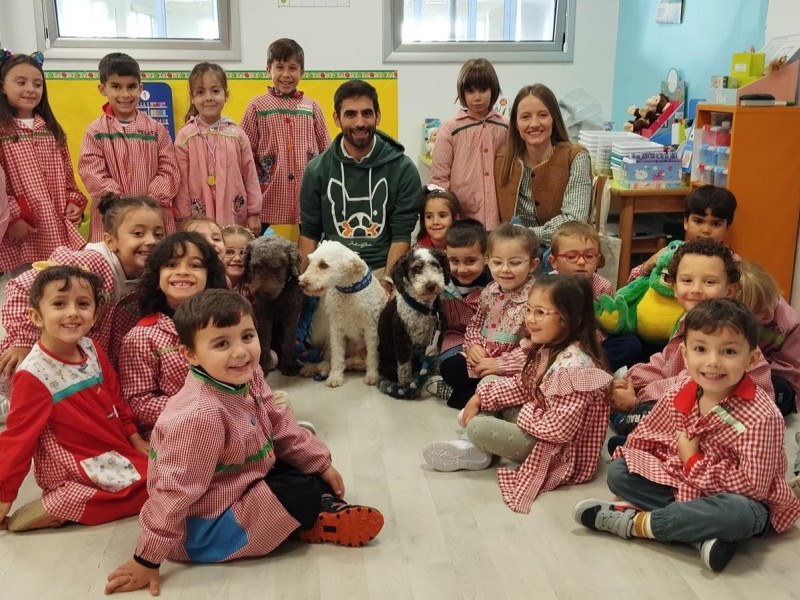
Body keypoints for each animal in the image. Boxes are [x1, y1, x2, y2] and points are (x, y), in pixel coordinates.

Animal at [300, 240, 388, 386]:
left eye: (324, 265)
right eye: (310, 261)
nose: (301, 283)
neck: (348, 291)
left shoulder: (371, 330)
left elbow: (372, 356)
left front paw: (372, 375)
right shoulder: (336, 329)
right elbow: (337, 357)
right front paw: (335, 376)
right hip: (329, 339)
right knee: (331, 359)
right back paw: (320, 368)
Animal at [376, 247, 450, 384]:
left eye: (435, 265)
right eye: (416, 268)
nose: (431, 286)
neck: (423, 308)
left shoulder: (436, 339)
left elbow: (435, 360)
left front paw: (435, 376)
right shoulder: (402, 340)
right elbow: (404, 367)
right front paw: (406, 383)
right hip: (387, 365)